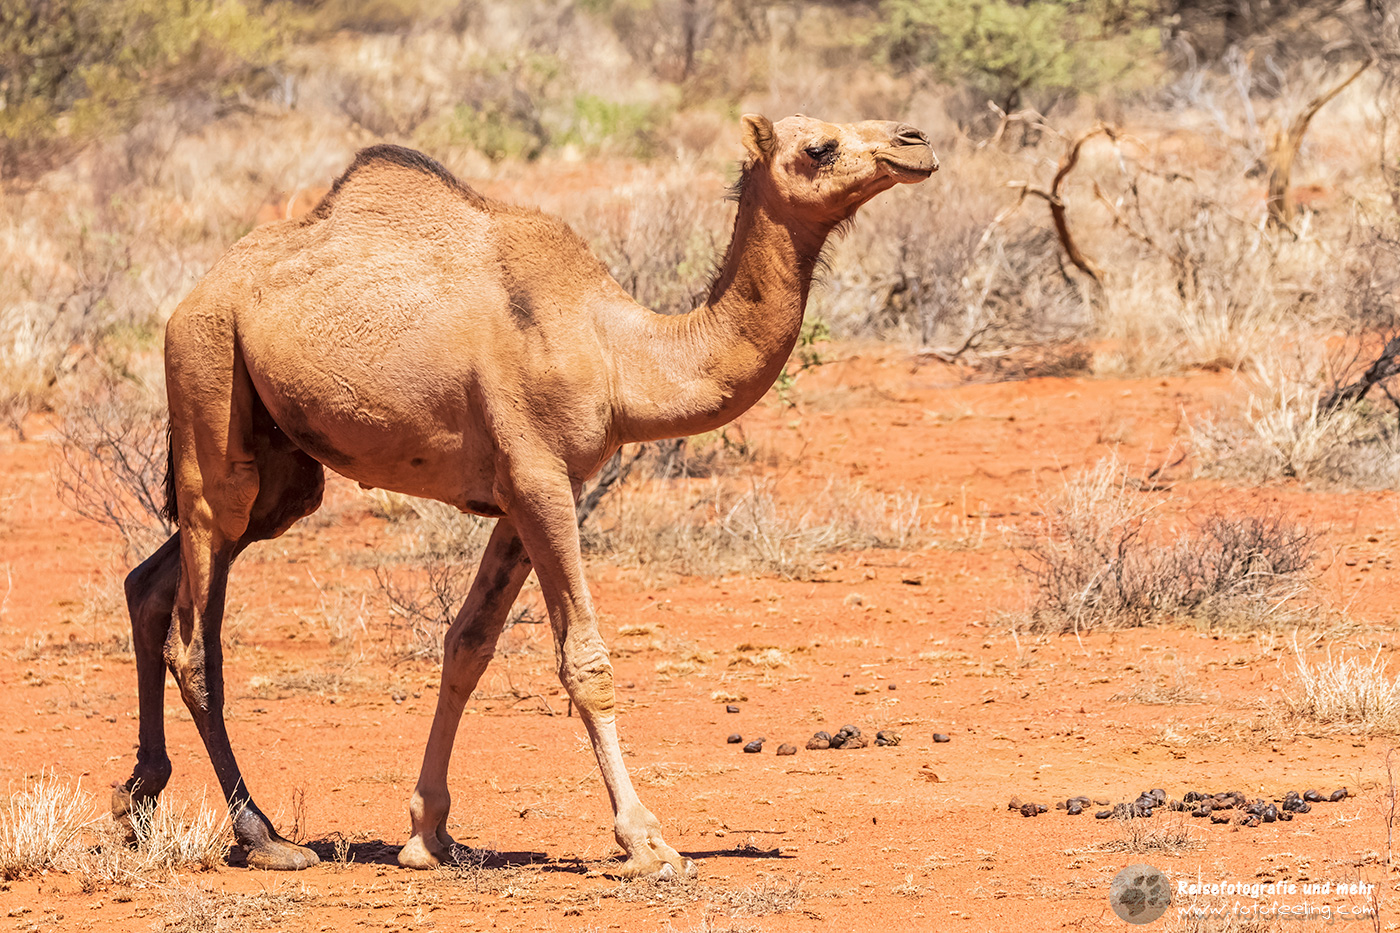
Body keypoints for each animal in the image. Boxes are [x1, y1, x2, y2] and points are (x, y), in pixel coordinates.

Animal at [112, 114, 936, 877]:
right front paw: (647, 842)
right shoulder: (540, 479)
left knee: (150, 584)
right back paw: (264, 836)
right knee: (196, 636)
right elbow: (587, 661)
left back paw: (138, 799)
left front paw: (428, 834)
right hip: (209, 393)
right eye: (820, 147)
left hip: (284, 473)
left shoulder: (528, 490)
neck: (619, 352)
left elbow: (467, 644)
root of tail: (189, 300)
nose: (915, 143)